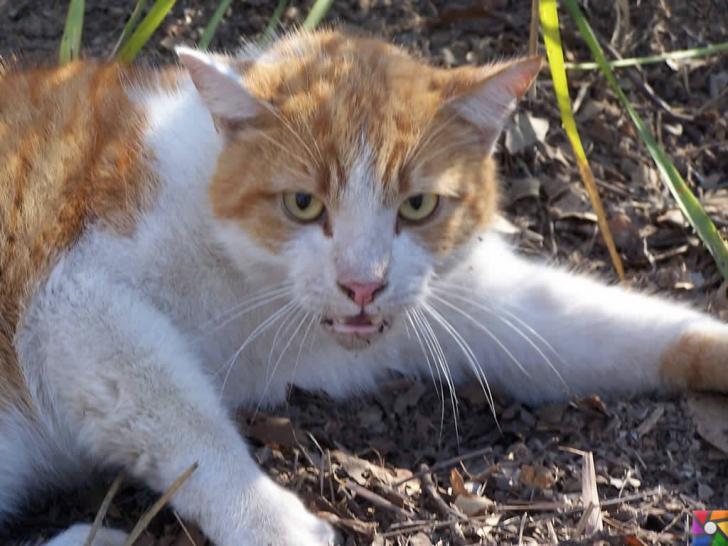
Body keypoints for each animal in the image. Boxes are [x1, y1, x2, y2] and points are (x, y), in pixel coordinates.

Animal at [0, 28, 724, 544]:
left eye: (417, 206)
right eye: (302, 204)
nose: (363, 285)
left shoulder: (465, 301)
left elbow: (600, 325)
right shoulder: (74, 303)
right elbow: (185, 422)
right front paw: (270, 521)